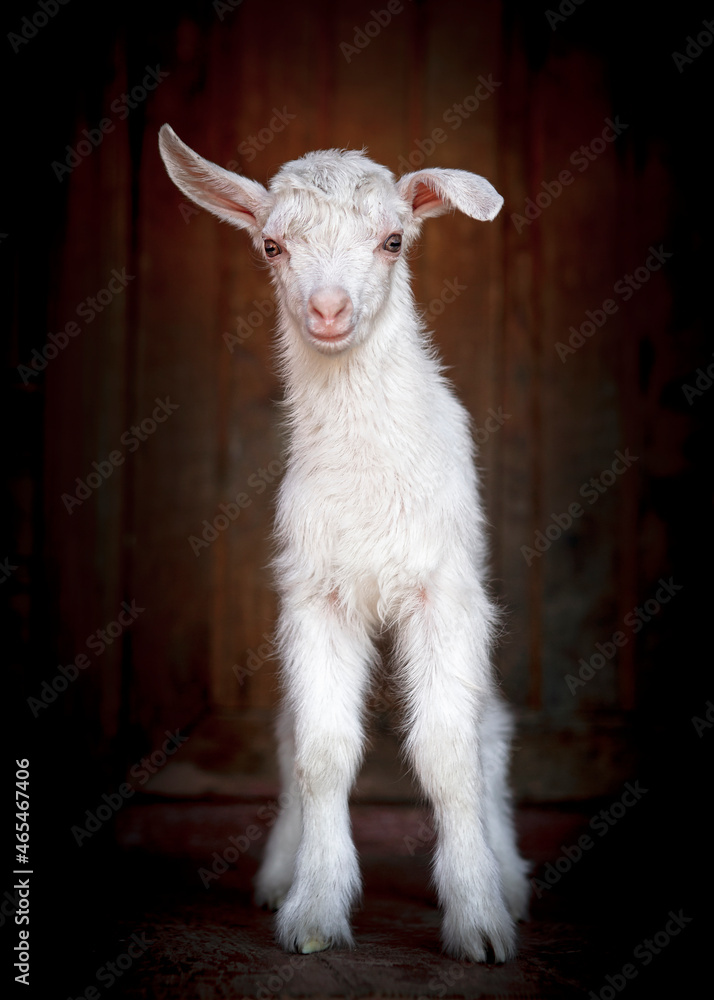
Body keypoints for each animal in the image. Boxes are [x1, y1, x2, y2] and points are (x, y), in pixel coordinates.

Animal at [158, 126, 530, 963]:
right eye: (272, 246)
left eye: (393, 240)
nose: (329, 310)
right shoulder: (315, 595)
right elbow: (321, 751)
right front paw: (315, 911)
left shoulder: (444, 592)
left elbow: (450, 751)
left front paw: (479, 920)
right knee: (290, 733)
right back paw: (279, 873)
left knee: (489, 729)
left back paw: (510, 878)